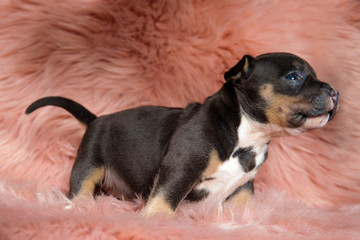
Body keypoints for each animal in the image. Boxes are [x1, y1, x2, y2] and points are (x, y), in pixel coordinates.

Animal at [26, 53, 338, 218]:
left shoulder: (243, 187)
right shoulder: (180, 169)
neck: (249, 132)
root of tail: (96, 119)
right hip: (89, 164)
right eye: (294, 77)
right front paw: (154, 223)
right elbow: (163, 202)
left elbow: (242, 204)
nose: (335, 92)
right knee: (80, 189)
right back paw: (77, 206)